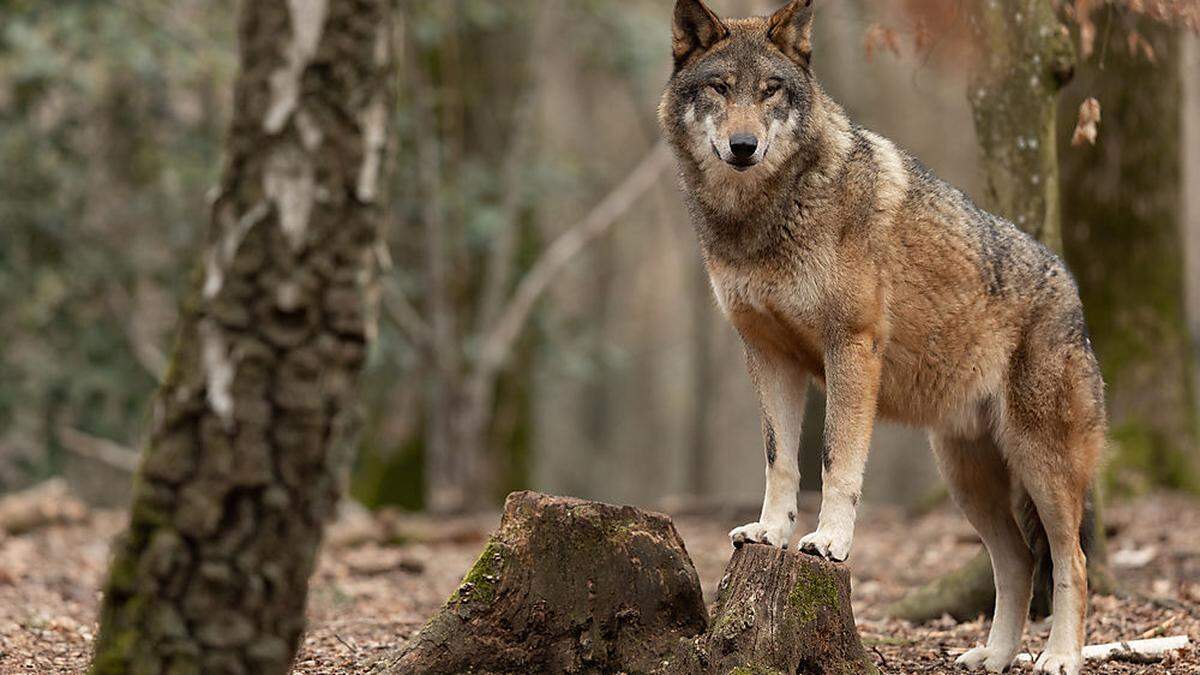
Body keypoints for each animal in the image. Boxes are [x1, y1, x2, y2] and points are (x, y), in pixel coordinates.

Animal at [657, 2, 1104, 667]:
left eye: (770, 91)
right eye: (719, 88)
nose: (744, 145)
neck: (761, 217)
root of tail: (1071, 288)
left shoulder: (851, 346)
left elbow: (835, 459)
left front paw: (829, 541)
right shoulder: (767, 355)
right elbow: (780, 461)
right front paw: (771, 533)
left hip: (1040, 466)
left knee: (1070, 558)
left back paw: (1059, 658)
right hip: (966, 479)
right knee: (1019, 562)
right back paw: (993, 657)